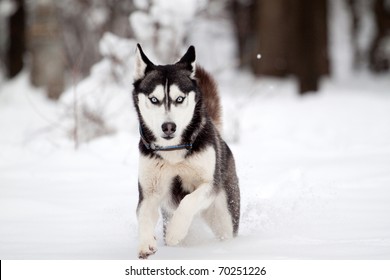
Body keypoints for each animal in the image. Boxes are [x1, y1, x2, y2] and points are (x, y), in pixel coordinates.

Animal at [133, 44, 239, 260]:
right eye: (154, 99)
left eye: (179, 99)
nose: (168, 127)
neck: (173, 151)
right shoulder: (149, 192)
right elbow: (144, 216)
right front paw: (146, 243)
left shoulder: (210, 184)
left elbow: (188, 201)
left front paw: (175, 232)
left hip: (224, 215)